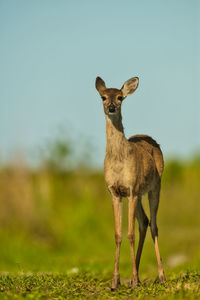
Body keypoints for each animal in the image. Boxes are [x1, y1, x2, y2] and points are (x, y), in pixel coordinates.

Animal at [95, 77, 166, 290]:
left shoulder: (131, 189)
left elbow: (130, 234)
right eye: (103, 97)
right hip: (140, 194)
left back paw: (160, 276)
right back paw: (138, 276)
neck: (119, 160)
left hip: (154, 187)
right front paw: (115, 281)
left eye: (120, 97)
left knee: (153, 226)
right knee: (144, 222)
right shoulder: (115, 192)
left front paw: (132, 280)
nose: (111, 107)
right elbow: (118, 235)